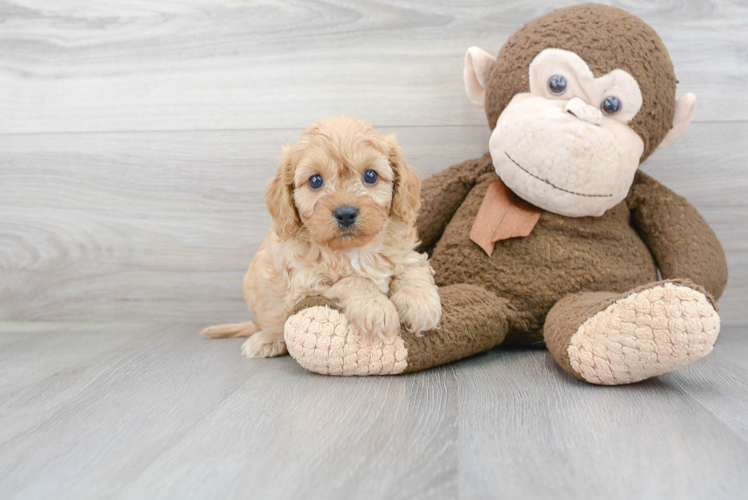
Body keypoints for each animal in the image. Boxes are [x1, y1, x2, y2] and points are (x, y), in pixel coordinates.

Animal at [202, 115, 442, 358]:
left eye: (371, 175)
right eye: (315, 180)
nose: (345, 213)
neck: (355, 250)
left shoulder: (407, 253)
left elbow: (411, 269)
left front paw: (420, 303)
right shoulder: (307, 283)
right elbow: (352, 280)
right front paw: (375, 307)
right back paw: (266, 340)